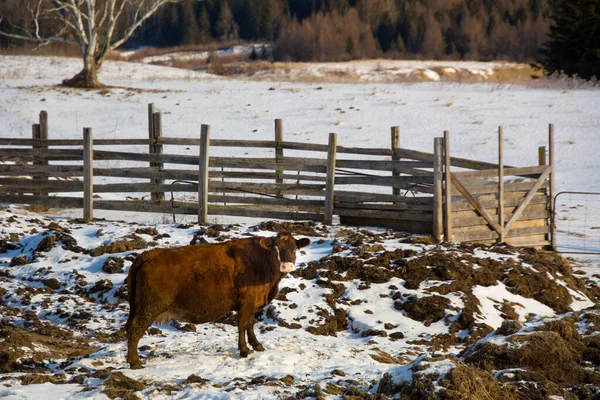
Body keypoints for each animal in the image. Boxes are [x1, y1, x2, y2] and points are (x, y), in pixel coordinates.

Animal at [125, 233, 310, 370]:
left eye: (294, 248)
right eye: (276, 248)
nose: (286, 266)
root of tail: (148, 254)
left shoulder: (251, 305)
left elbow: (250, 324)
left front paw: (256, 345)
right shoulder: (245, 304)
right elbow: (243, 325)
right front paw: (244, 350)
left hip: (137, 307)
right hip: (149, 308)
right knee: (134, 330)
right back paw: (135, 362)